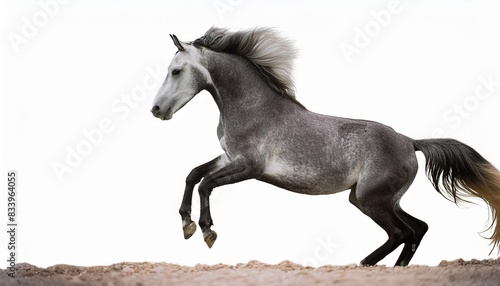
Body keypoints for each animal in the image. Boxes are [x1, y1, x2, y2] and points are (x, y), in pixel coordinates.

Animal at [151, 26, 500, 266]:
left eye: (176, 71)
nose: (156, 110)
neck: (254, 108)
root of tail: (410, 142)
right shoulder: (228, 158)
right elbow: (193, 174)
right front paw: (187, 224)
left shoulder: (249, 167)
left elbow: (206, 184)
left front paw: (207, 231)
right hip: (376, 199)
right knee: (418, 229)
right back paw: (392, 268)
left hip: (372, 200)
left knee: (402, 233)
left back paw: (364, 264)